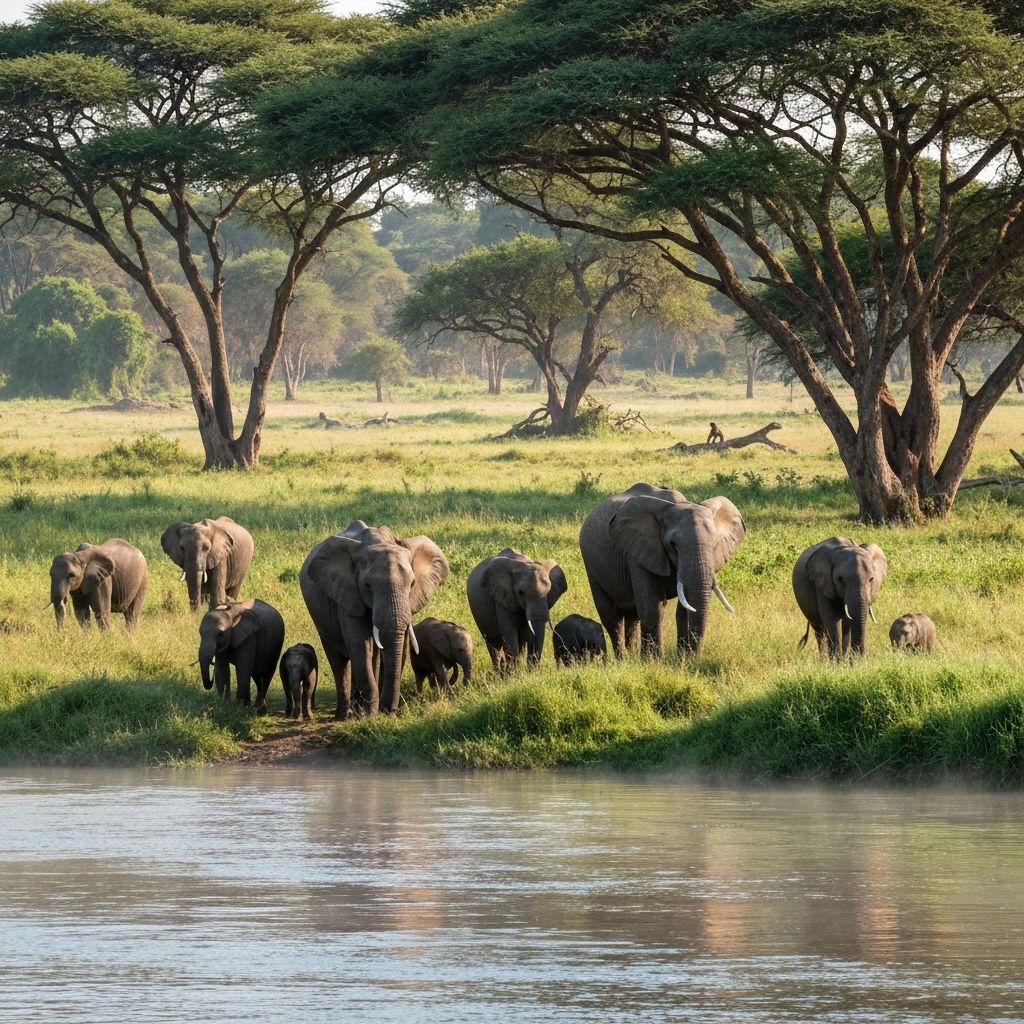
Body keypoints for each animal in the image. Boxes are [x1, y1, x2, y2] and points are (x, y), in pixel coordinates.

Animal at [299, 521, 449, 718]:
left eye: (412, 584)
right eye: (367, 585)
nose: (388, 711)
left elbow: (396, 648)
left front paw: (383, 712)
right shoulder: (347, 593)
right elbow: (360, 645)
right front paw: (370, 714)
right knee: (339, 660)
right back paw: (345, 714)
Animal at [579, 482, 745, 657]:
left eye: (714, 545)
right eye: (673, 545)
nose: (695, 656)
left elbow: (683, 609)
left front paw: (683, 658)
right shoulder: (640, 551)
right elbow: (652, 606)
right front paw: (653, 660)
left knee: (632, 616)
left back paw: (632, 656)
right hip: (591, 565)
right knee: (611, 617)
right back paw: (623, 659)